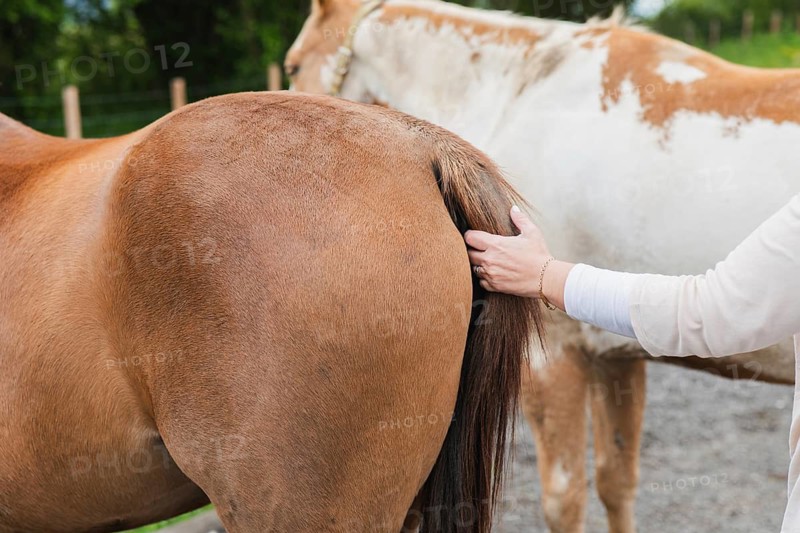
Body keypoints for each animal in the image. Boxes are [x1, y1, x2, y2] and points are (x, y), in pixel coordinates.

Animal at [285, 1, 800, 531]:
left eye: (294, 65)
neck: (523, 92)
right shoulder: (617, 356)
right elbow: (617, 483)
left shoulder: (553, 355)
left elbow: (564, 498)